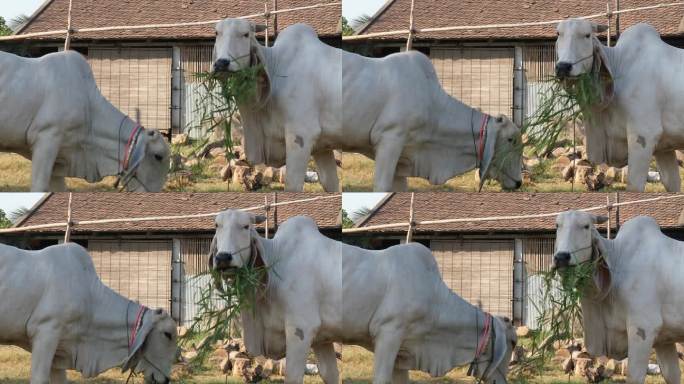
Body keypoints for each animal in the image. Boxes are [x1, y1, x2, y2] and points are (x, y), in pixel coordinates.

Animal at [556, 18, 684, 191]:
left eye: (587, 35)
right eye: (558, 33)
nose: (563, 67)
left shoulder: (643, 136)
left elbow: (634, 185)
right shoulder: (664, 148)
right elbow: (672, 184)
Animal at [556, 212, 684, 382]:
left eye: (586, 226)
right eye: (557, 225)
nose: (561, 257)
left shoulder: (643, 328)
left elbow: (634, 377)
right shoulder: (664, 340)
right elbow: (672, 375)